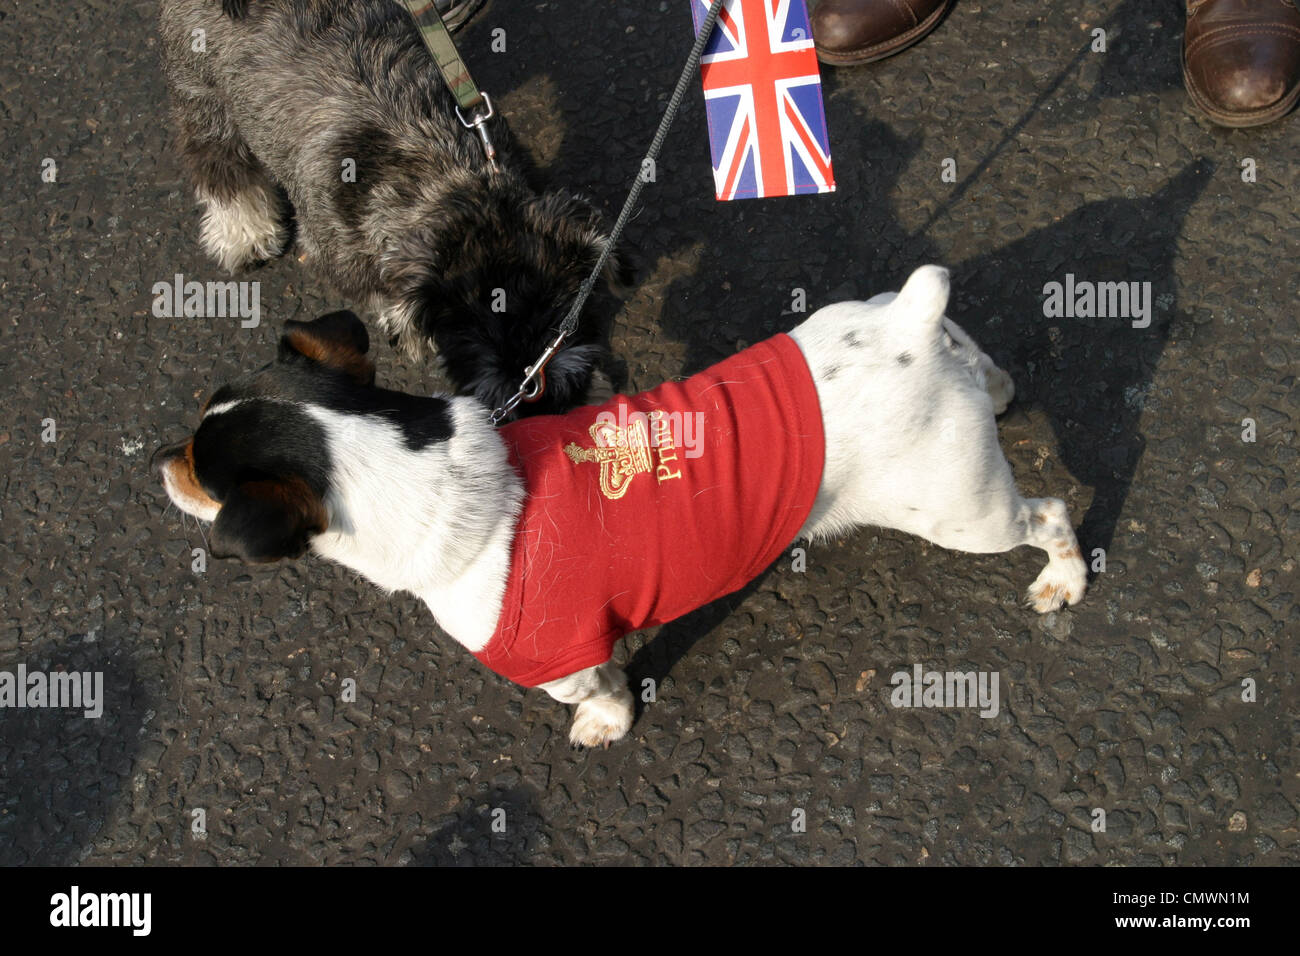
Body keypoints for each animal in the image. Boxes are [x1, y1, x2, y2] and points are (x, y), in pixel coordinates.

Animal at [154, 265, 1086, 749]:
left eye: (199, 474)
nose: (157, 461)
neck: (428, 468)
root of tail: (913, 326)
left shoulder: (559, 656)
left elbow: (597, 690)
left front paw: (606, 721)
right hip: (938, 364)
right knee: (988, 366)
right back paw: (1001, 390)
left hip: (963, 515)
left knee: (1049, 516)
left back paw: (1064, 582)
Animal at [159, 0, 621, 418]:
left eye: (567, 328)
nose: (565, 411)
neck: (438, 172)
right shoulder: (339, 249)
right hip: (200, 92)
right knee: (218, 162)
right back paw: (243, 233)